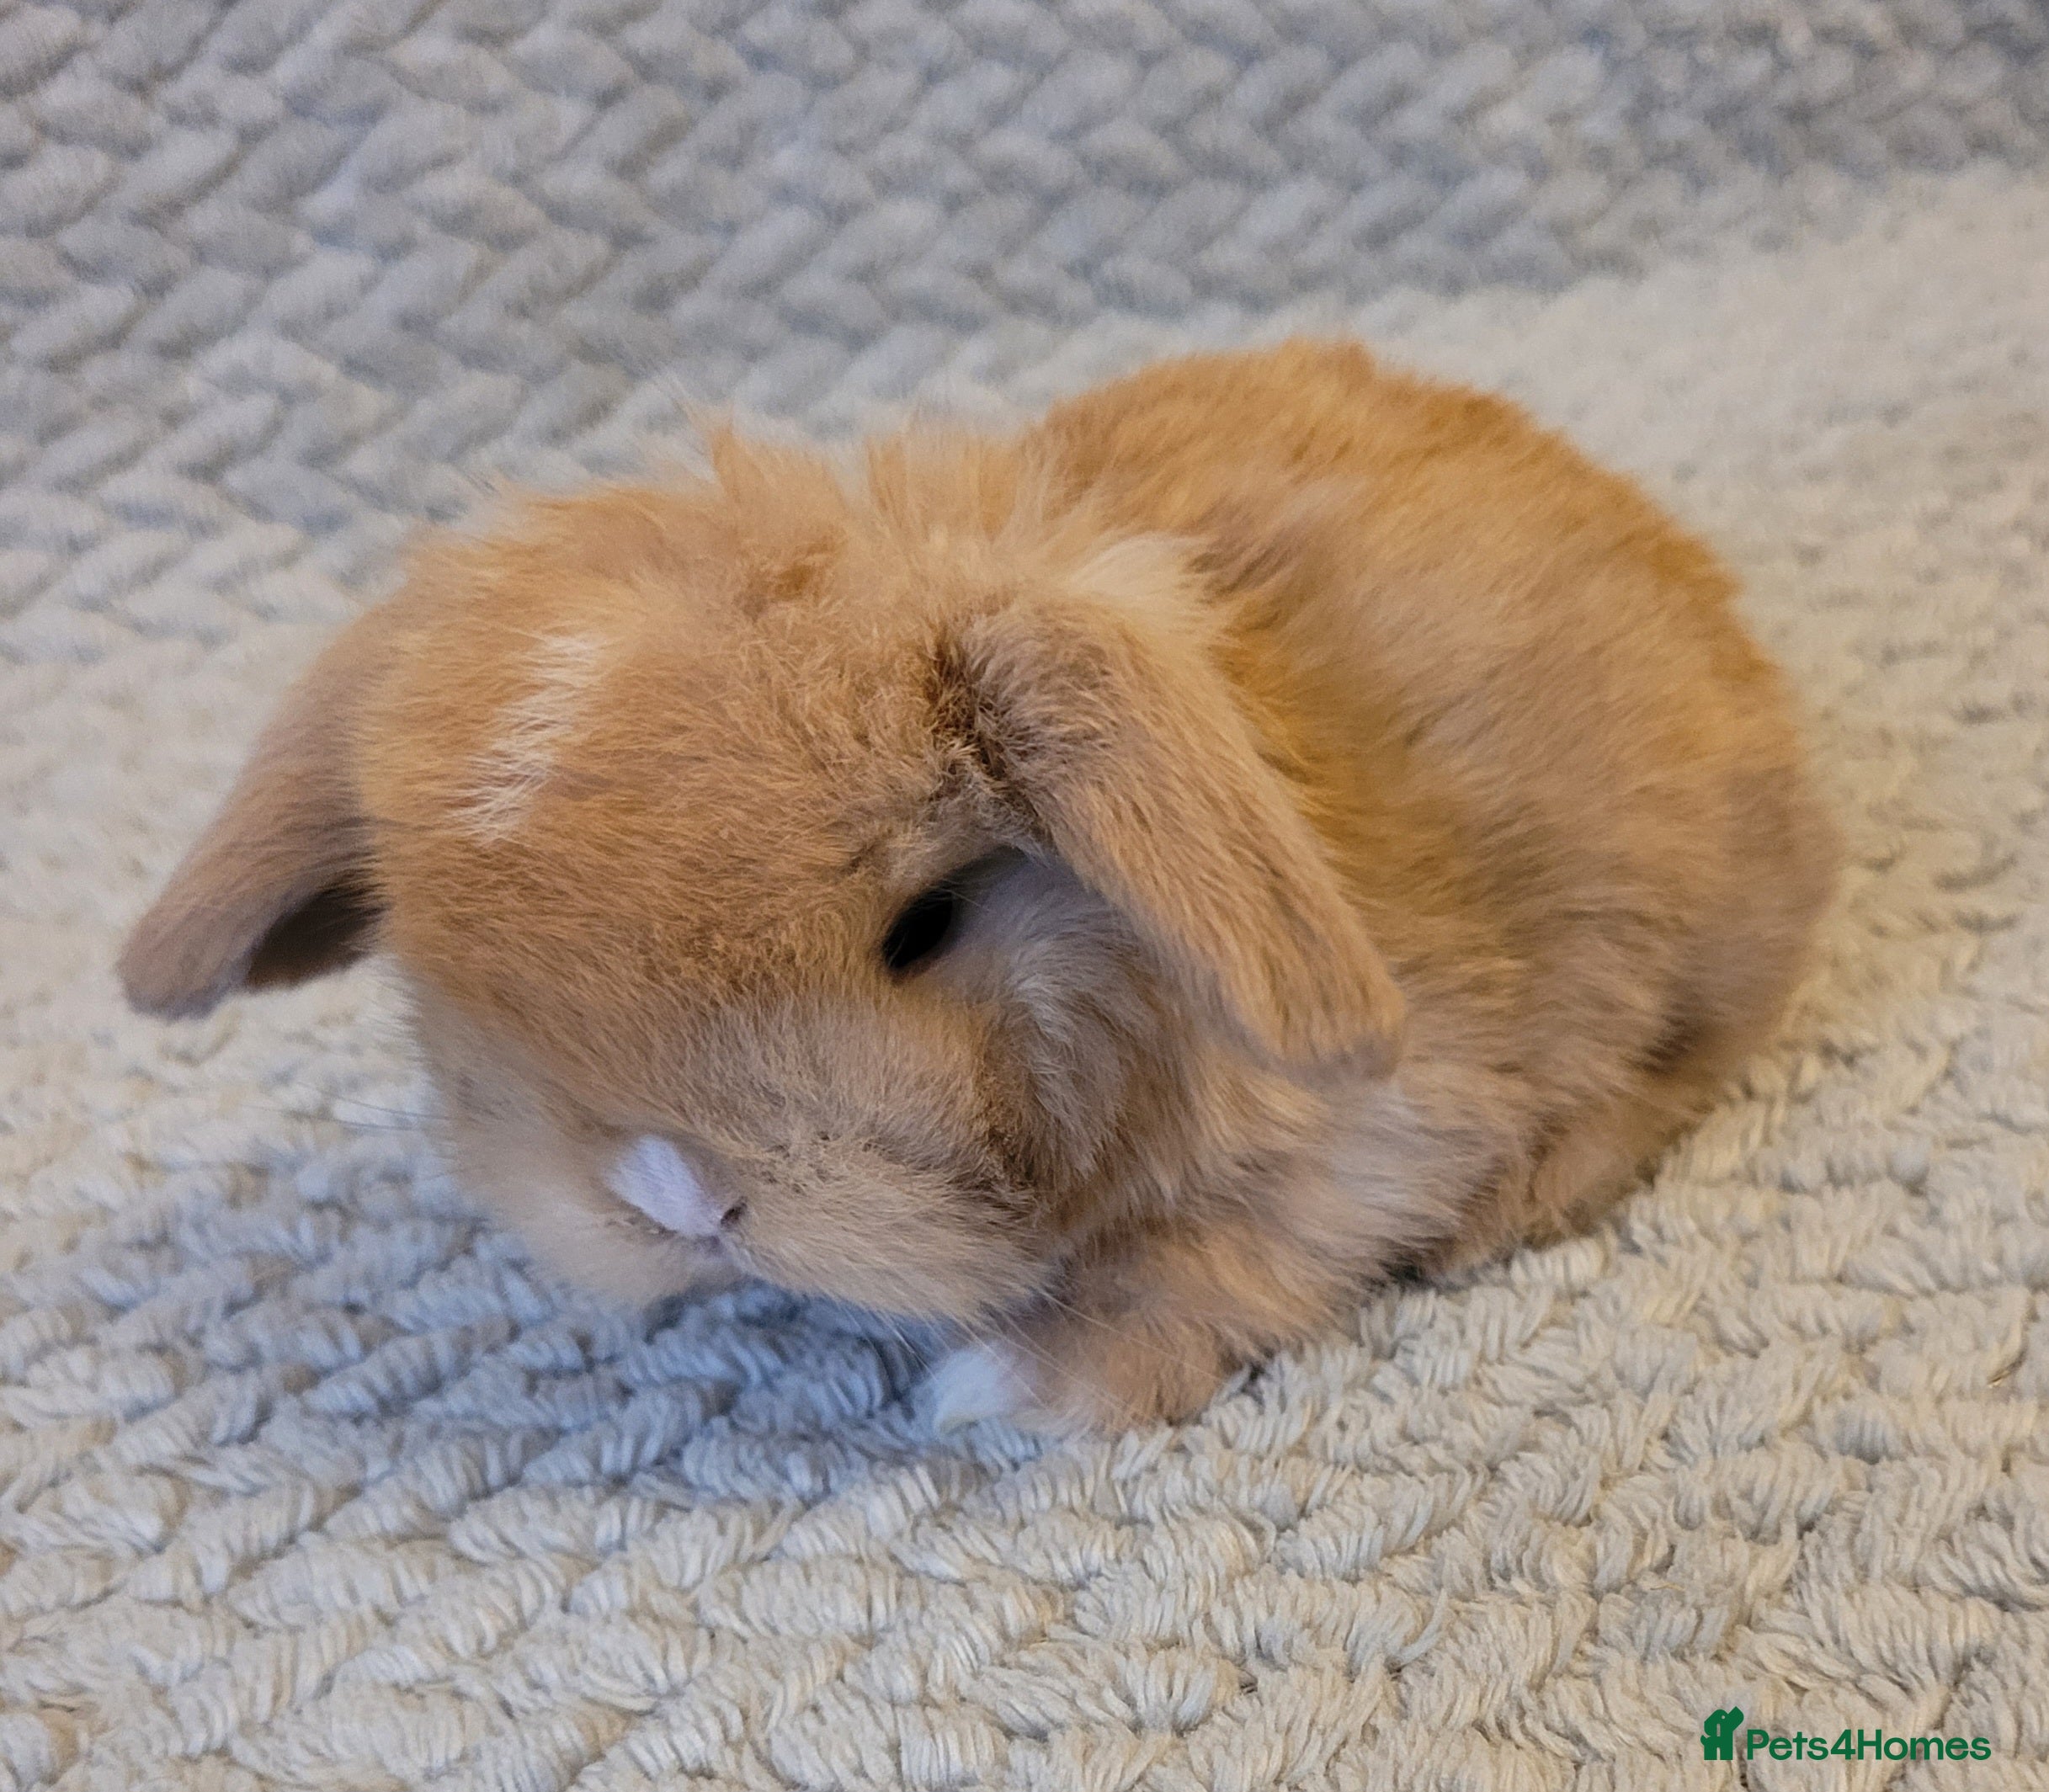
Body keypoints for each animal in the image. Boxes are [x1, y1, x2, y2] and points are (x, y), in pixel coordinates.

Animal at [120, 341, 1838, 1431]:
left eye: (925, 923)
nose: (677, 1197)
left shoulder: (1369, 1128)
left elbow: (1216, 1261)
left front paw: (1006, 1389)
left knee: (1679, 1065)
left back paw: (1509, 1212)